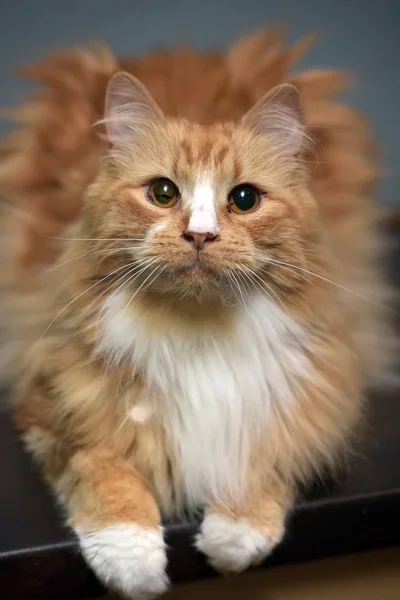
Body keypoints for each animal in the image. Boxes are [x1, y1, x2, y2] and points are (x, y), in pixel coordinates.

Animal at [0, 29, 392, 600]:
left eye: (245, 199)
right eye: (163, 193)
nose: (200, 236)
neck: (198, 329)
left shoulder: (312, 393)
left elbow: (268, 459)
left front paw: (234, 537)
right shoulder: (50, 401)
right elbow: (103, 468)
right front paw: (133, 560)